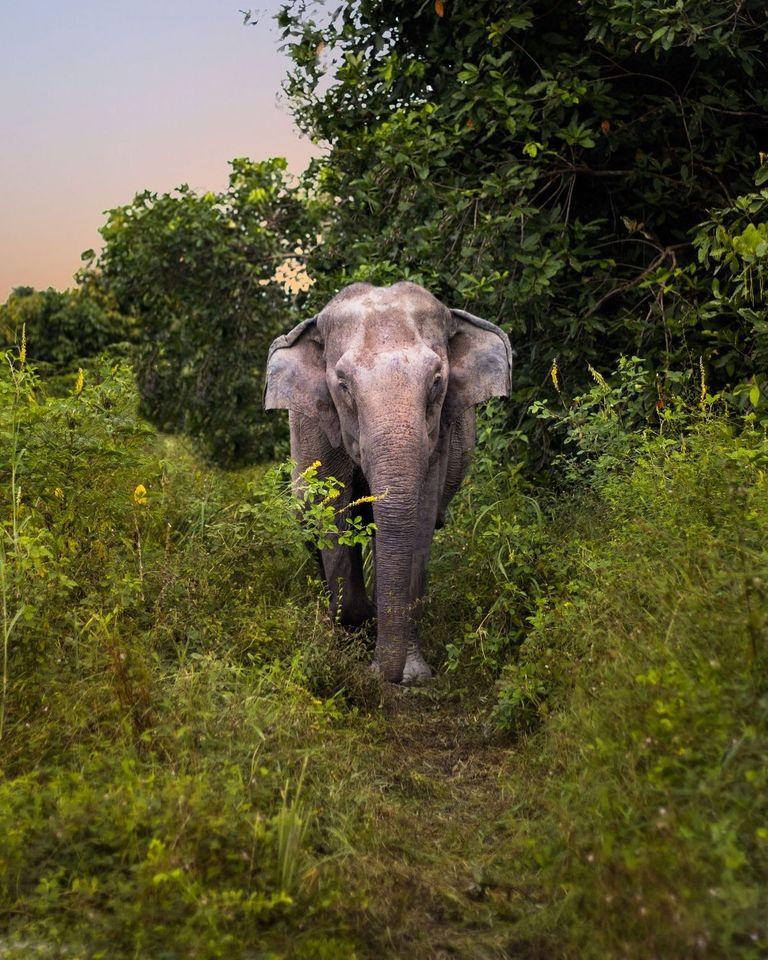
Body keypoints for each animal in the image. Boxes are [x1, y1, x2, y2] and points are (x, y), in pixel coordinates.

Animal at [266, 282, 516, 688]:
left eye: (437, 381)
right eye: (343, 385)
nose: (384, 678)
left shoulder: (438, 438)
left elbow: (421, 520)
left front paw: (412, 675)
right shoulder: (316, 424)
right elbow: (330, 512)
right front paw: (356, 631)